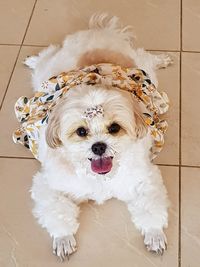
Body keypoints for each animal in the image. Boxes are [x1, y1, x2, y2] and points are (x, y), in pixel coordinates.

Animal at [21, 13, 172, 260]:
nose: (98, 146)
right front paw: (63, 238)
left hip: (145, 70)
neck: (100, 179)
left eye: (114, 128)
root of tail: (99, 33)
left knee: (146, 56)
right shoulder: (49, 186)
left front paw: (154, 234)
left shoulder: (144, 180)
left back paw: (163, 58)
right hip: (48, 70)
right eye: (81, 132)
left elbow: (150, 209)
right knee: (45, 56)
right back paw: (32, 59)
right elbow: (58, 214)